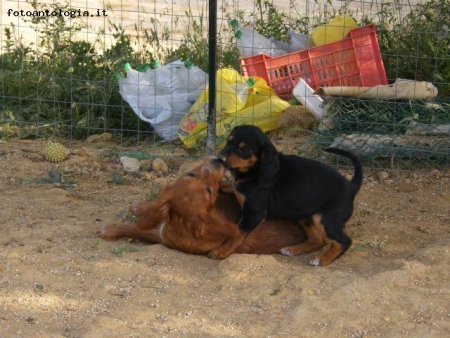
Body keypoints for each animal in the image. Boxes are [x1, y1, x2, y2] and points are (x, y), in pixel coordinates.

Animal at [96, 157, 304, 255]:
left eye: (209, 190)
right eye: (190, 174)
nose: (218, 161)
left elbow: (140, 227)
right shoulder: (164, 236)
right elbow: (137, 228)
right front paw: (113, 228)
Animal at [212, 125, 366, 266]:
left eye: (244, 150)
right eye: (228, 141)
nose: (220, 158)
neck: (254, 170)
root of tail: (351, 186)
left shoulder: (253, 214)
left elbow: (236, 233)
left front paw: (221, 251)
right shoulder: (236, 189)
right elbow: (225, 184)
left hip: (325, 220)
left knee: (344, 241)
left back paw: (322, 259)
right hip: (305, 215)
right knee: (317, 239)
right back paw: (293, 249)